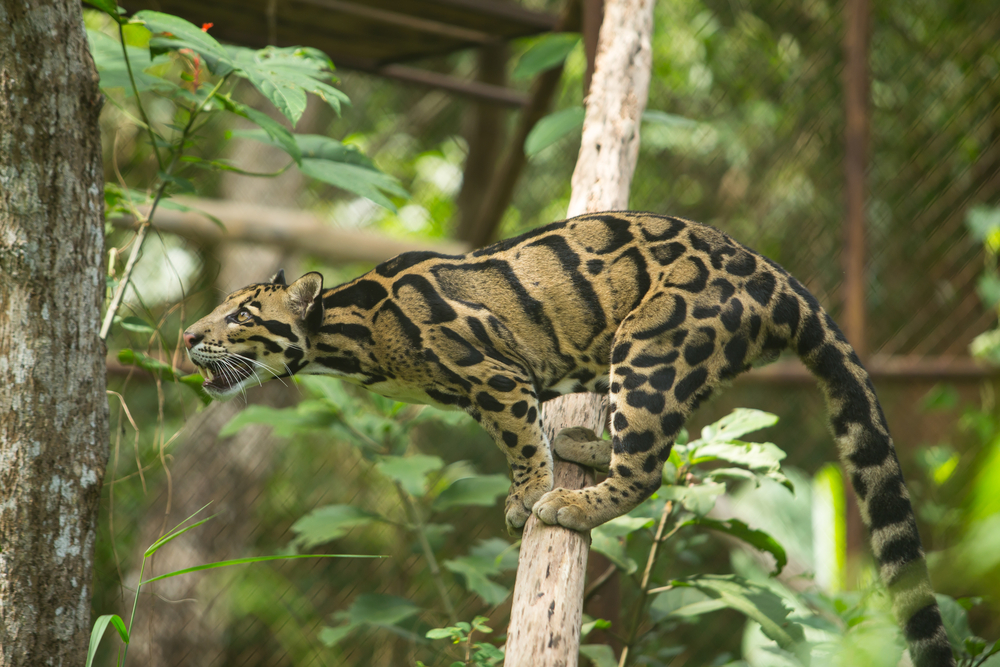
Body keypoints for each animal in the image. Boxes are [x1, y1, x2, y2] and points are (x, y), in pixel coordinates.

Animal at [186, 211, 952, 664]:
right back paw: (584, 446)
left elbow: (519, 438)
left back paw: (574, 501)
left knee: (647, 466)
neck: (352, 334)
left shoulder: (493, 372)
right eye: (217, 311)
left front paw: (529, 493)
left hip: (653, 346)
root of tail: (785, 282)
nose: (189, 334)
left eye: (241, 314)